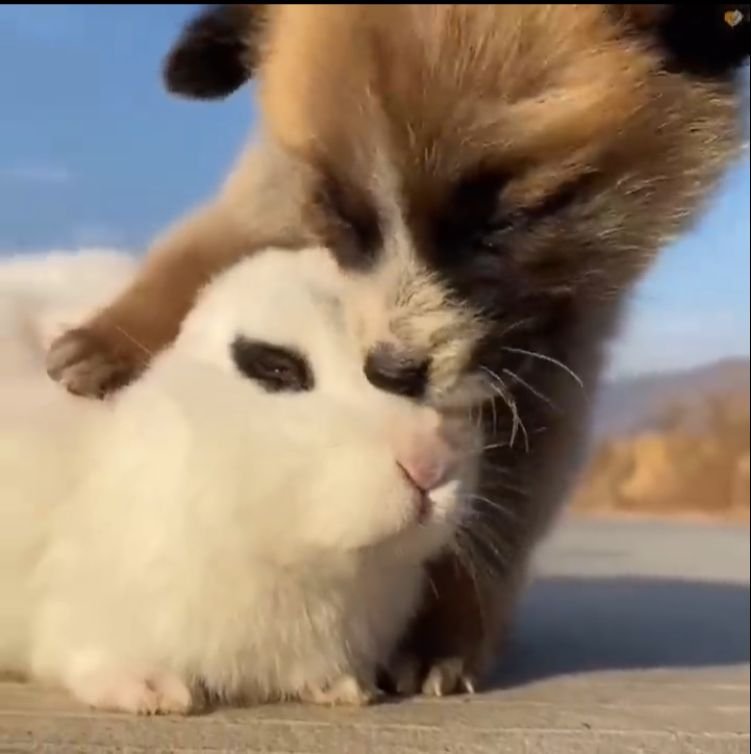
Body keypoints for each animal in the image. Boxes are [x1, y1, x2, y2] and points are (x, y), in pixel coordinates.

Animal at [45, 5, 748, 696]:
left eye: (501, 221)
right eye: (342, 214)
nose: (392, 371)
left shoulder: (557, 363)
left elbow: (504, 509)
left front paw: (442, 631)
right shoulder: (275, 185)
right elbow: (210, 240)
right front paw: (115, 335)